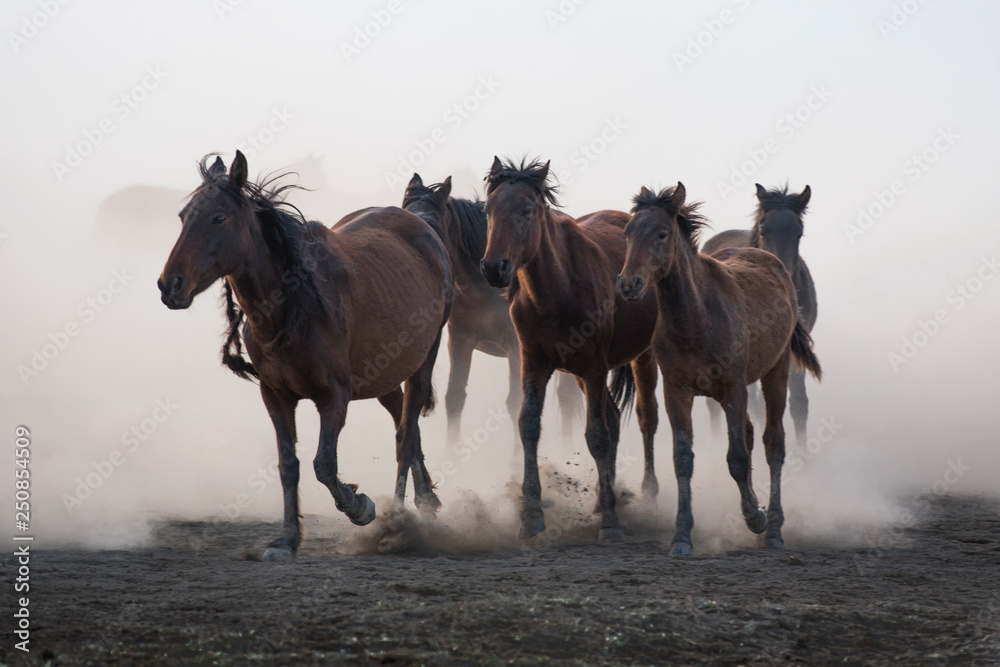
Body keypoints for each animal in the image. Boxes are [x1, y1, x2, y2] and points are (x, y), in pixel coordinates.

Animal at [157, 151, 453, 561]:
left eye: (219, 217)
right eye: (184, 216)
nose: (170, 284)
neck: (293, 308)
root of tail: (423, 228)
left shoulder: (334, 396)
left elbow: (324, 464)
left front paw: (360, 507)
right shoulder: (274, 396)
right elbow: (289, 465)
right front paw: (286, 540)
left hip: (423, 360)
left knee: (405, 437)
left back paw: (396, 521)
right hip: (387, 373)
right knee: (403, 424)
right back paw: (426, 501)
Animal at [401, 174, 583, 443]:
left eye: (433, 224)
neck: (482, 287)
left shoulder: (516, 347)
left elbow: (515, 403)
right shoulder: (460, 341)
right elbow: (454, 398)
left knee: (567, 398)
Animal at [480, 157, 661, 542]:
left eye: (527, 209)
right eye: (488, 210)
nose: (494, 267)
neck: (558, 291)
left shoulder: (593, 367)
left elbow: (597, 435)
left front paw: (610, 524)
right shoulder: (534, 365)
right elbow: (529, 426)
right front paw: (531, 516)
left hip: (642, 359)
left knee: (645, 418)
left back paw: (647, 496)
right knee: (613, 418)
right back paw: (600, 500)